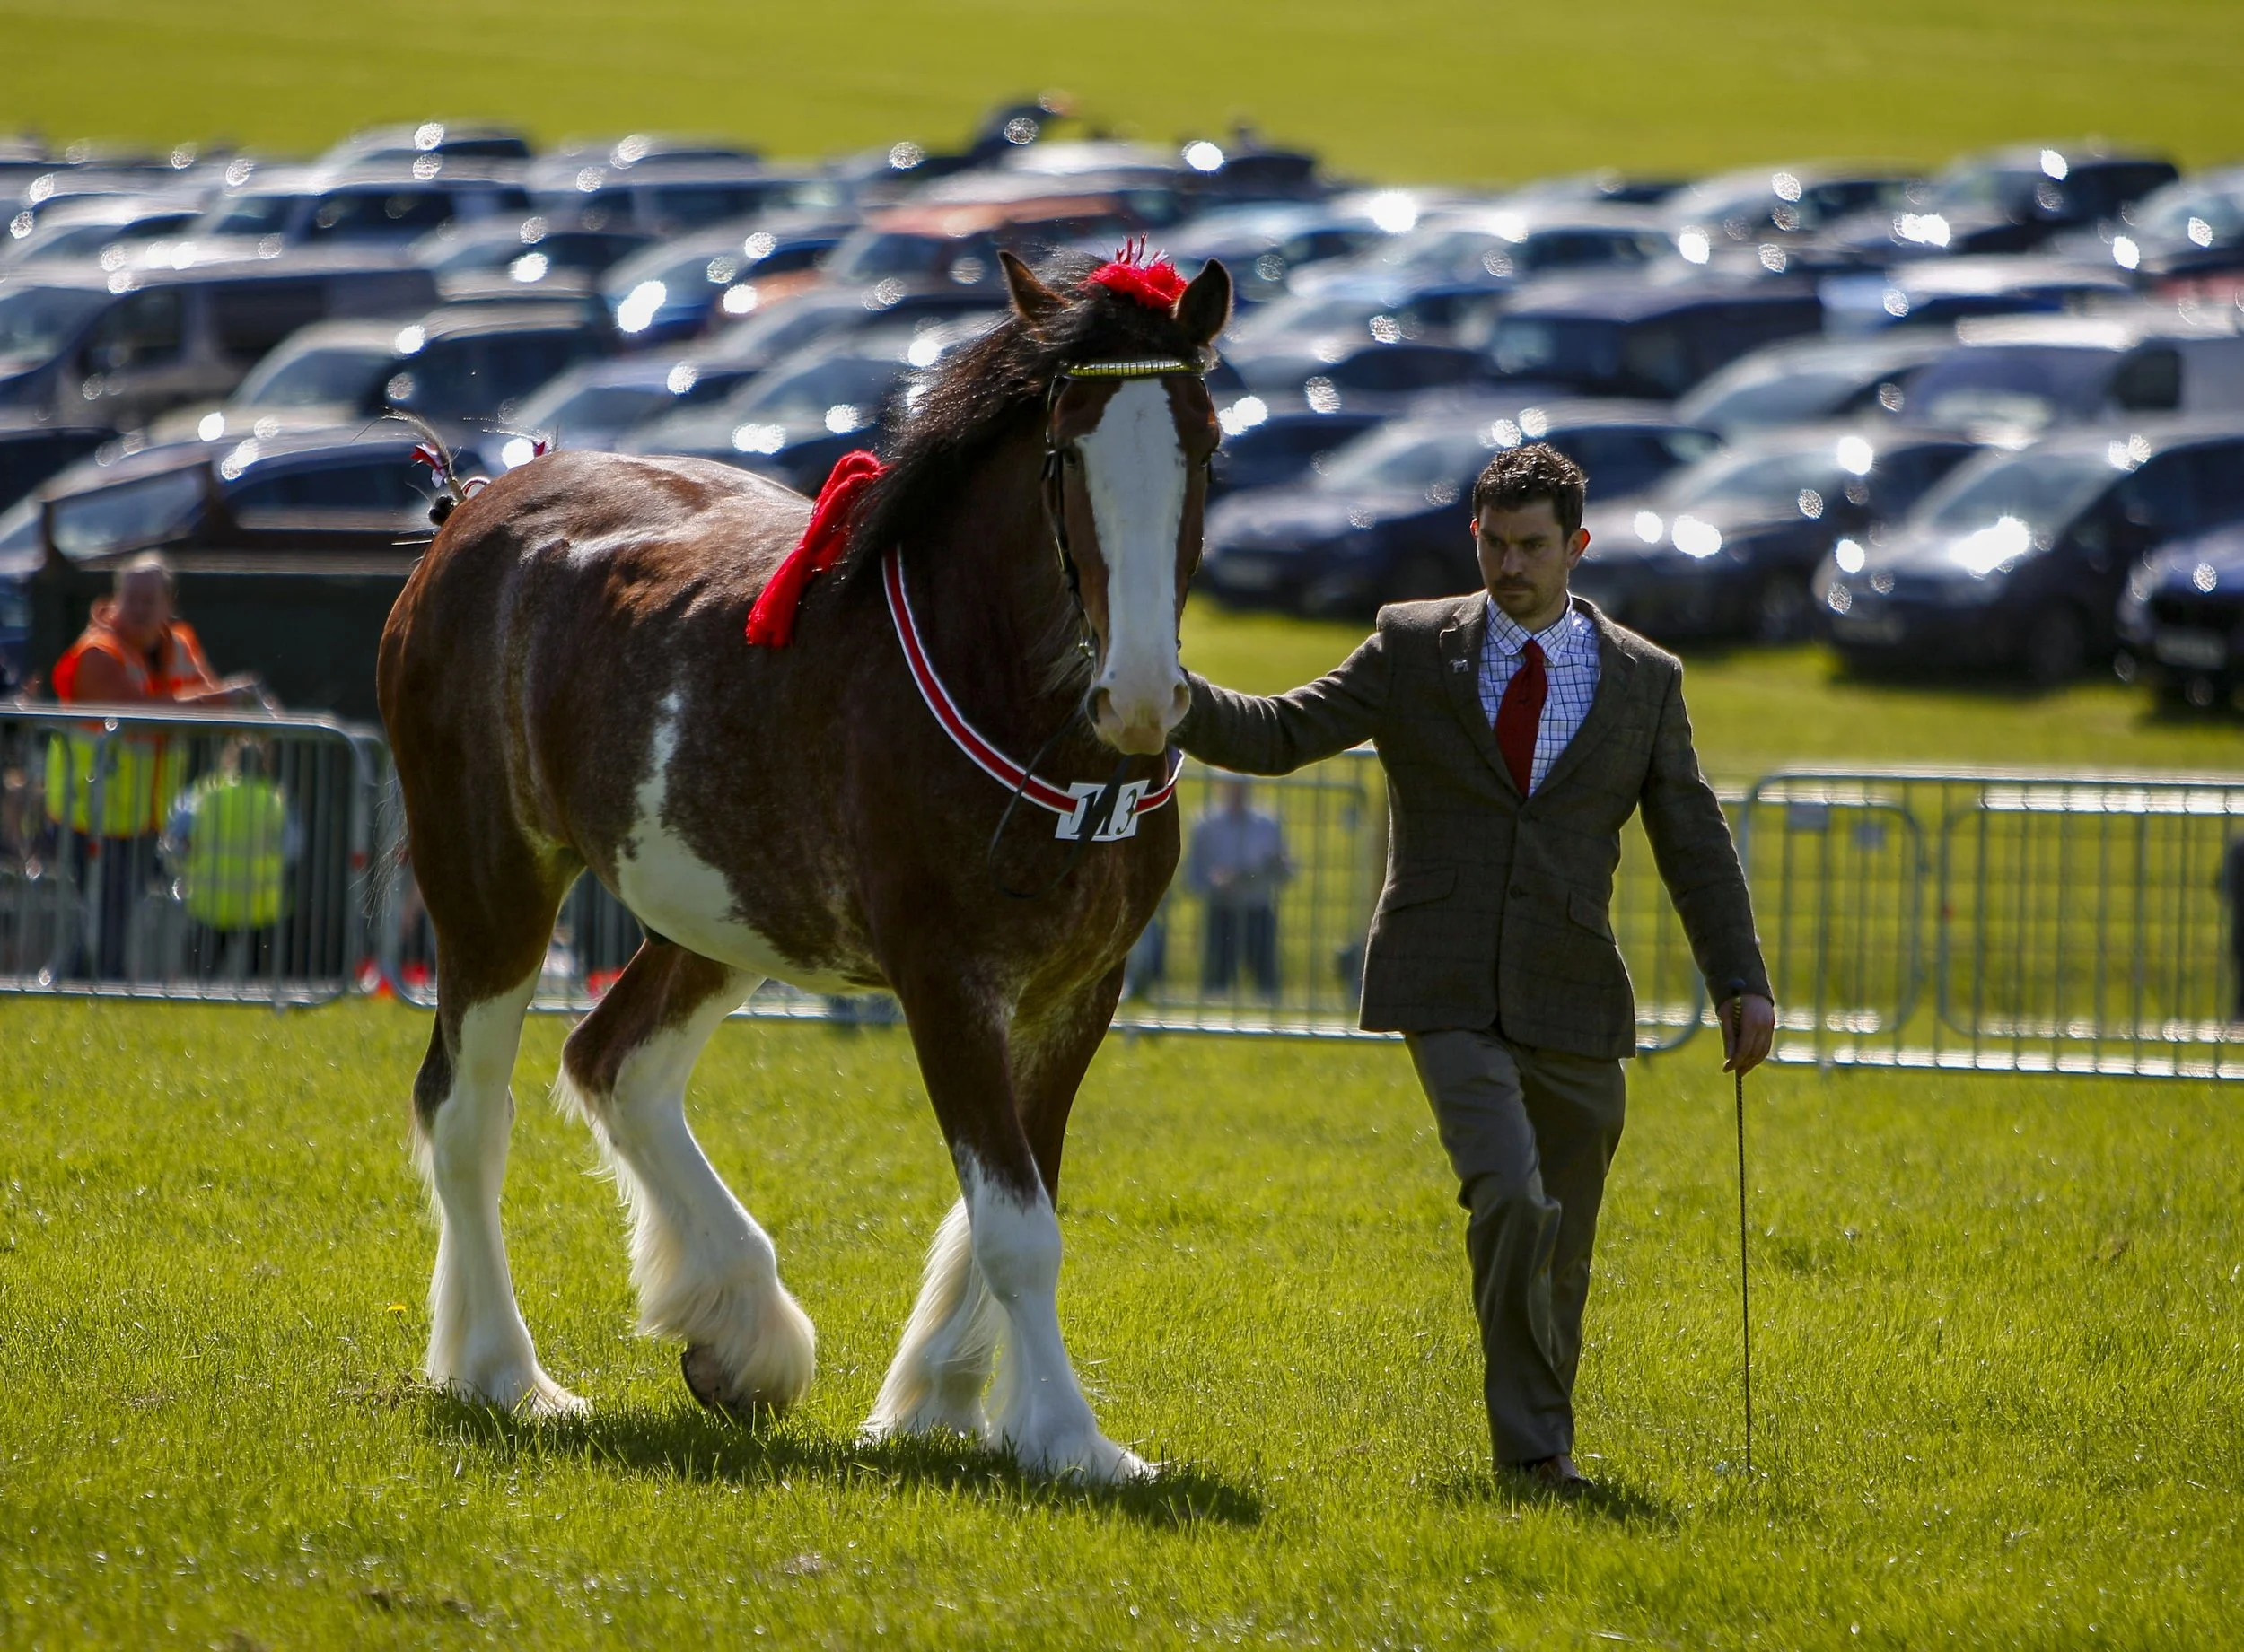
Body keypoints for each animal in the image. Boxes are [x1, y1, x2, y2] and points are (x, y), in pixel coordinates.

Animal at [376, 248, 1232, 1482]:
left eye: (1205, 444)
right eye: (1067, 450)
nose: (1142, 695)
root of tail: (473, 508)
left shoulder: (1080, 990)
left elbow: (1018, 1194)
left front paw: (944, 1396)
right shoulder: (943, 981)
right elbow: (1017, 1224)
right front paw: (1069, 1434)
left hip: (719, 912)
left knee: (613, 1062)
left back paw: (739, 1329)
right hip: (491, 885)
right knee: (466, 1114)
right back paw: (508, 1372)